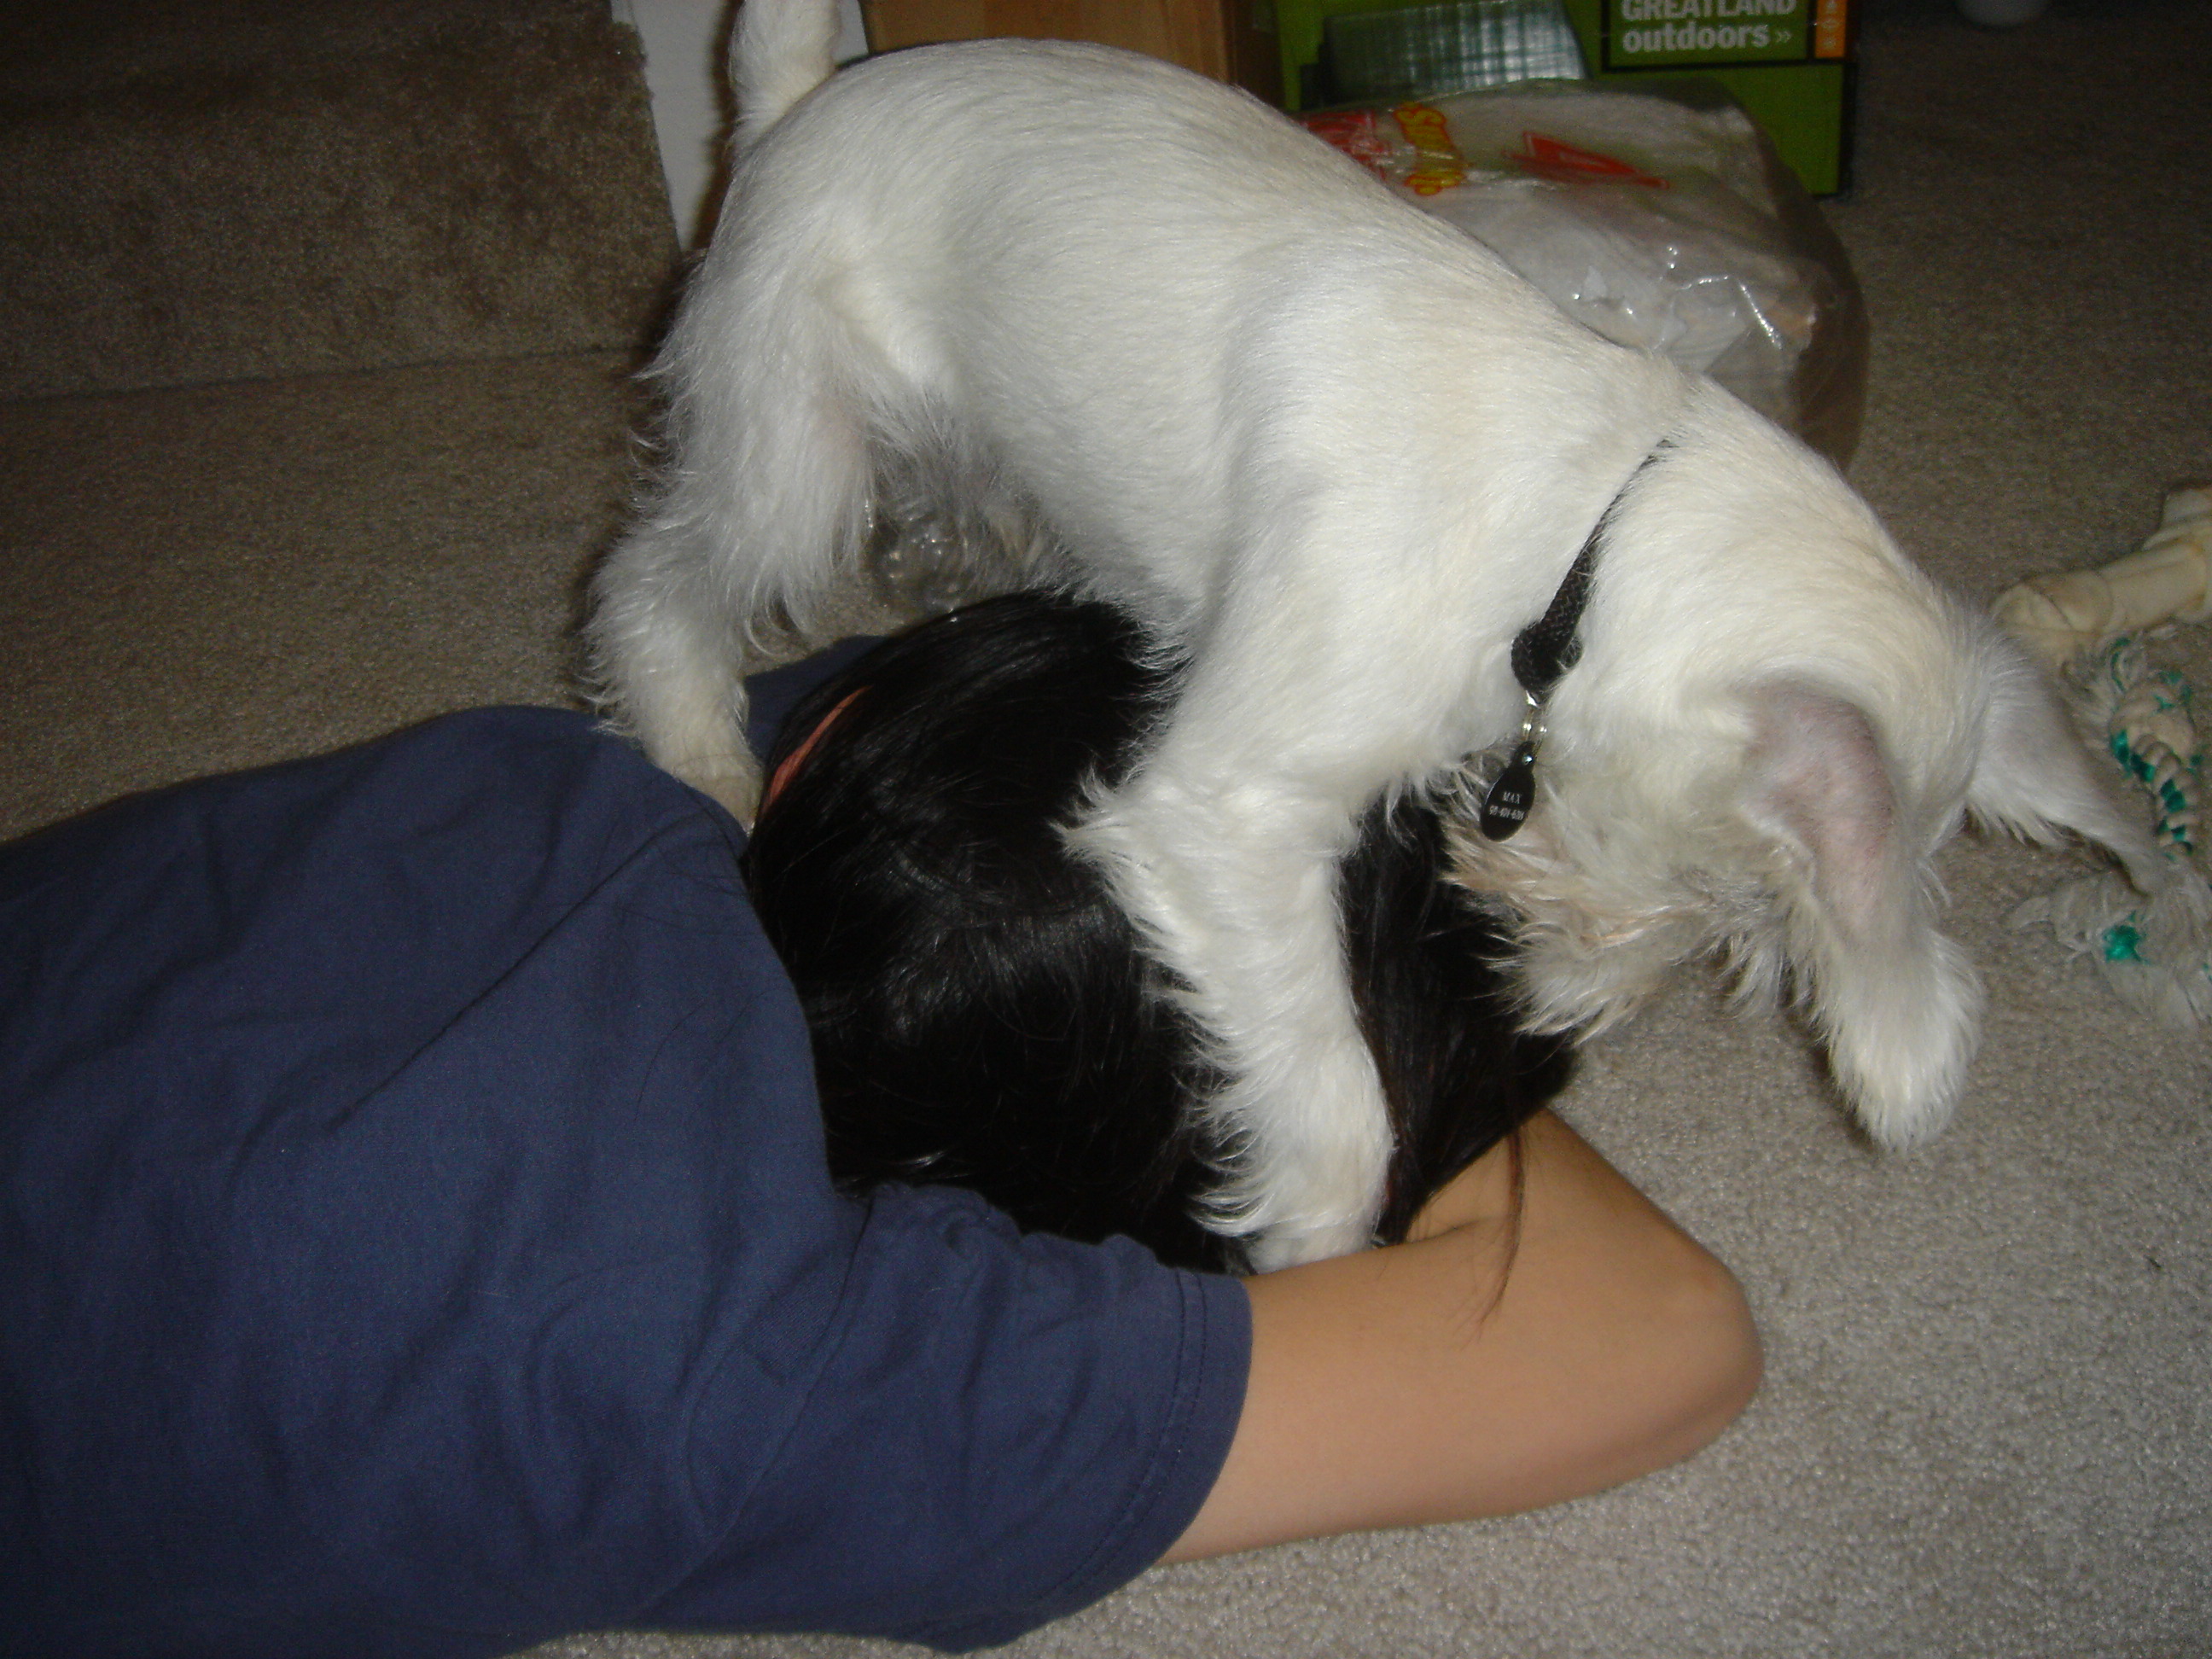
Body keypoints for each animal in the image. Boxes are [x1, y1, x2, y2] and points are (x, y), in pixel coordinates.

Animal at [586, 0, 2166, 1267]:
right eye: (1740, 902)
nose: (1566, 1019)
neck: (1581, 547)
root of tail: (802, 99)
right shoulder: (1224, 813)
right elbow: (1329, 1076)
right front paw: (1314, 1229)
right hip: (791, 457)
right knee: (652, 582)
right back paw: (699, 753)